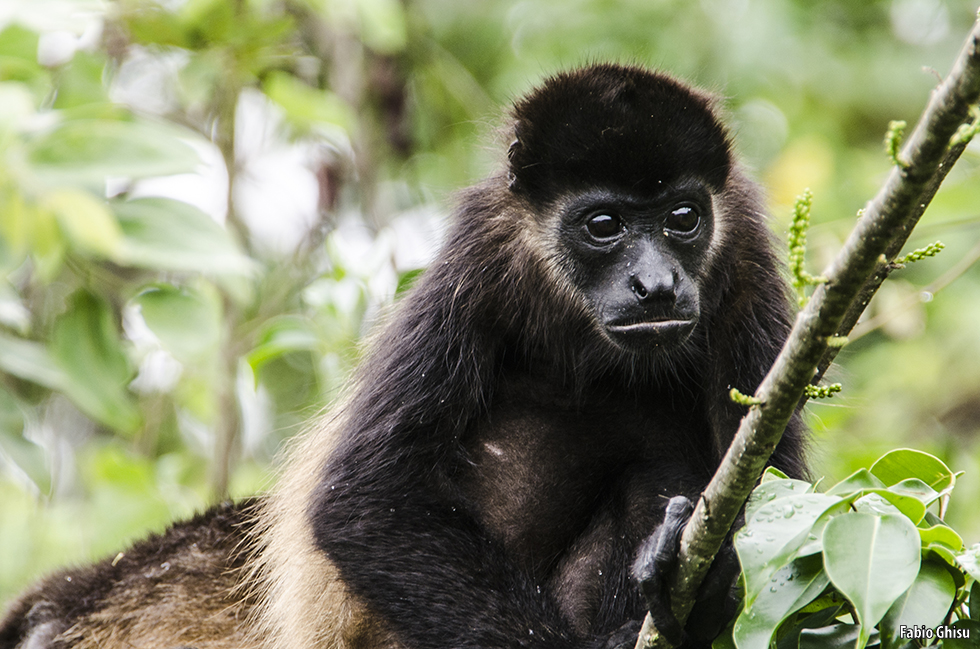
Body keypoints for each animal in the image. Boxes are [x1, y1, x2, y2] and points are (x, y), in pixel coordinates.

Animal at [0, 64, 808, 648]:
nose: (656, 283)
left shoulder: (744, 247)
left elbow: (776, 483)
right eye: (603, 225)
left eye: (683, 218)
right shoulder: (477, 257)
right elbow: (361, 503)